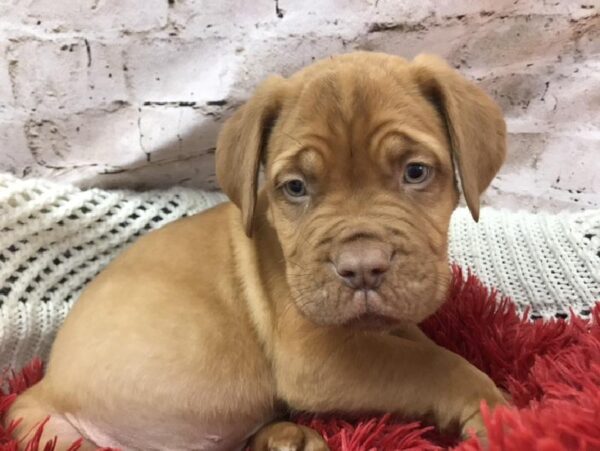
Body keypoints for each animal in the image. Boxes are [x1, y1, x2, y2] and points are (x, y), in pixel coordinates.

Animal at [8, 51, 506, 450]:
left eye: (416, 172)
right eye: (296, 187)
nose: (363, 269)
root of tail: (41, 385)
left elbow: (419, 342)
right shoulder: (316, 357)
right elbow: (432, 363)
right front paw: (496, 414)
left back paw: (287, 437)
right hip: (57, 435)